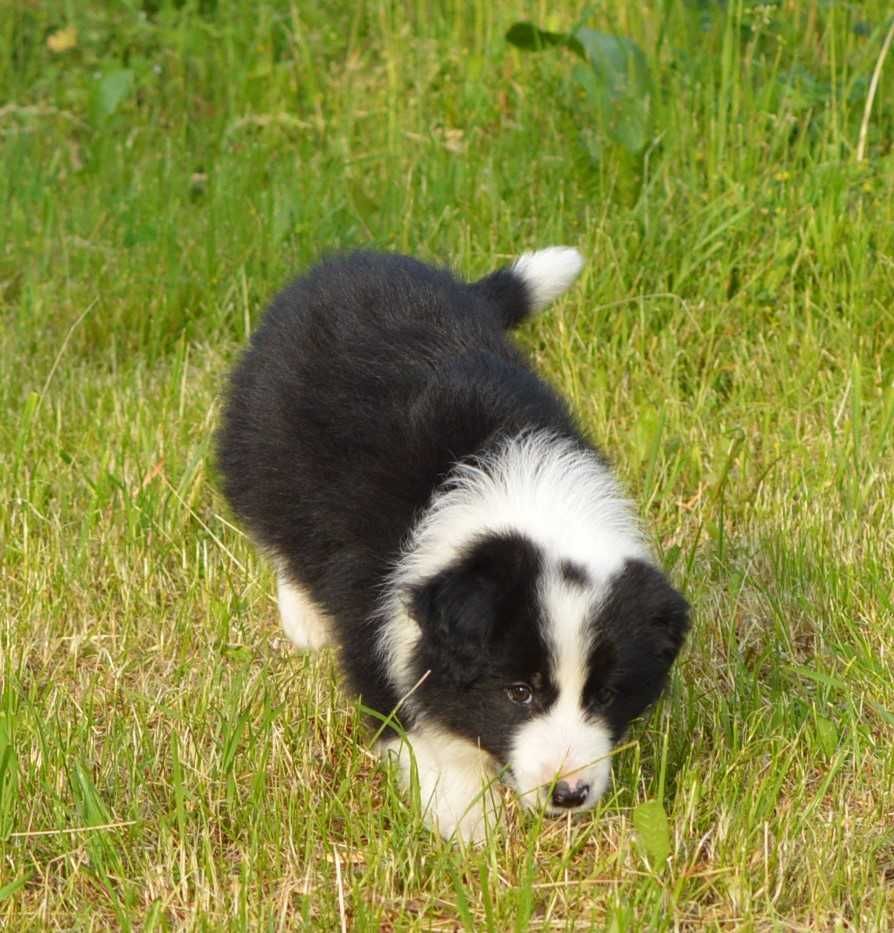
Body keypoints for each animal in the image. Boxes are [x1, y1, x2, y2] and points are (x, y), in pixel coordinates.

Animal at [219, 244, 692, 840]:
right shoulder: (374, 615)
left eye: (605, 694)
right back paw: (304, 619)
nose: (568, 795)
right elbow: (414, 720)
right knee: (278, 526)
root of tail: (353, 262)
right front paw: (469, 824)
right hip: (263, 451)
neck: (524, 496)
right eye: (520, 691)